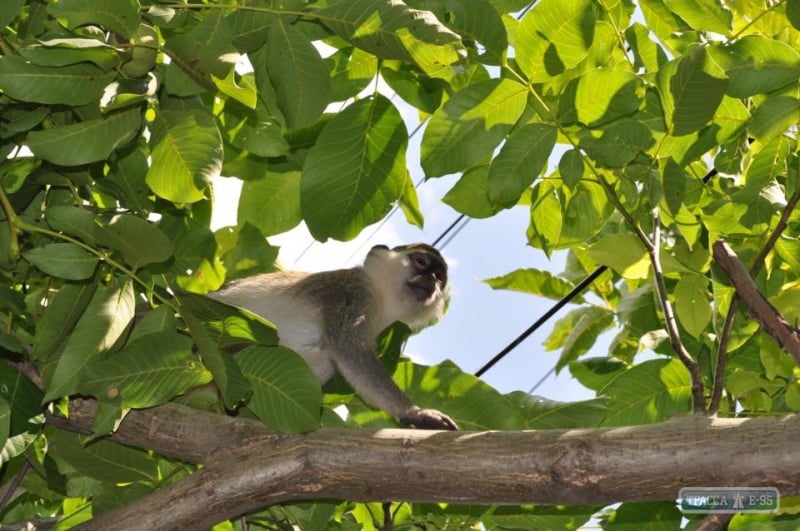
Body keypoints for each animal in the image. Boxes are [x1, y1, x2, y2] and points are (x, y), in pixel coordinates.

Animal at [209, 245, 460, 432]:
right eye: (421, 262)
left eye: (440, 277)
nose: (431, 280)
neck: (380, 298)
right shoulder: (353, 292)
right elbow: (349, 348)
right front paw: (415, 413)